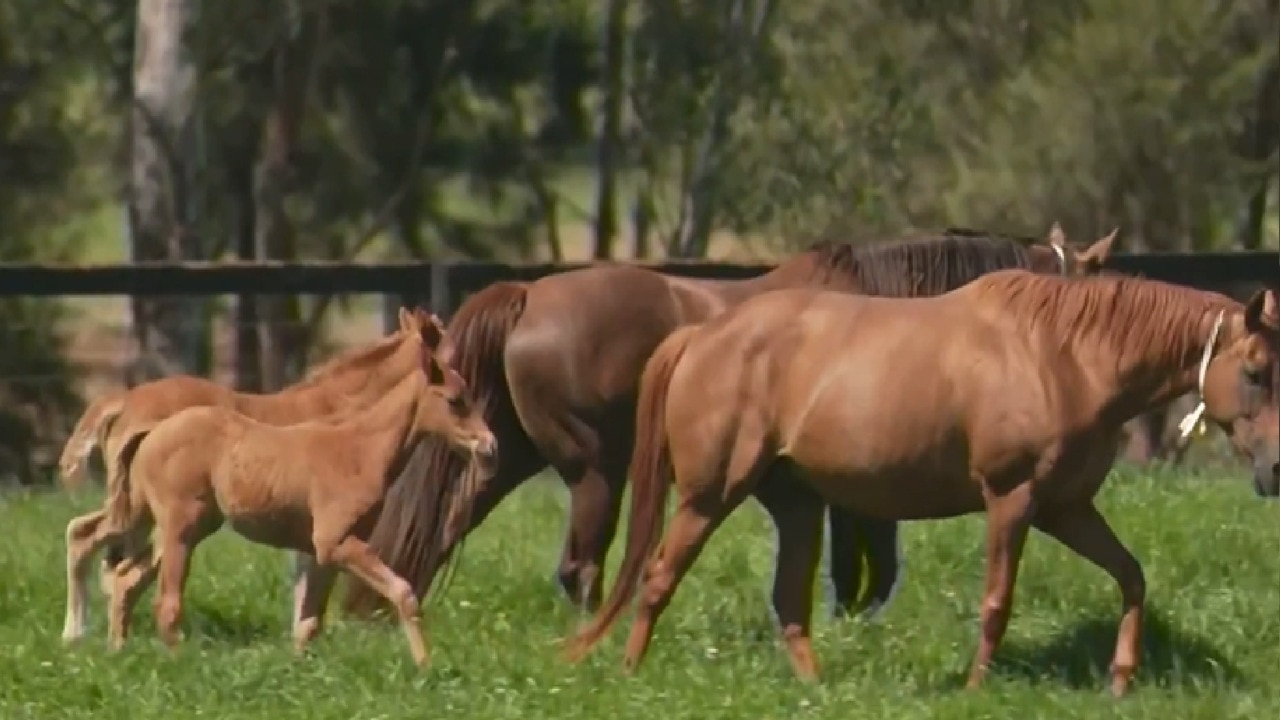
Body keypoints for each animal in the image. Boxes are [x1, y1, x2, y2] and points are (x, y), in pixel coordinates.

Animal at [68, 311, 499, 666]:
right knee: (151, 592)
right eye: (455, 398)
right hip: (175, 527)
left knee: (117, 570)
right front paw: (425, 667)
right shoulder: (333, 542)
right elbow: (401, 593)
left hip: (169, 522)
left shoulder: (320, 548)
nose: (489, 445)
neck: (357, 442)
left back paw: (112, 647)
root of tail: (137, 416)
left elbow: (308, 618)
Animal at [345, 224, 1116, 617]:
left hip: (503, 455)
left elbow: (866, 567)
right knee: (580, 567)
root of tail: (530, 295)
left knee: (445, 523)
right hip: (596, 468)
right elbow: (867, 567)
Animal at [568, 270, 1280, 696]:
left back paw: (815, 692)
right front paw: (974, 689)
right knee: (657, 577)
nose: (1274, 470)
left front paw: (1121, 678)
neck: (1065, 356)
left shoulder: (1066, 508)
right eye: (1255, 370)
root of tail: (700, 334)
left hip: (795, 504)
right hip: (709, 496)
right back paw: (630, 675)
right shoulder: (1013, 499)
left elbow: (1131, 576)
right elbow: (997, 601)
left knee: (789, 604)